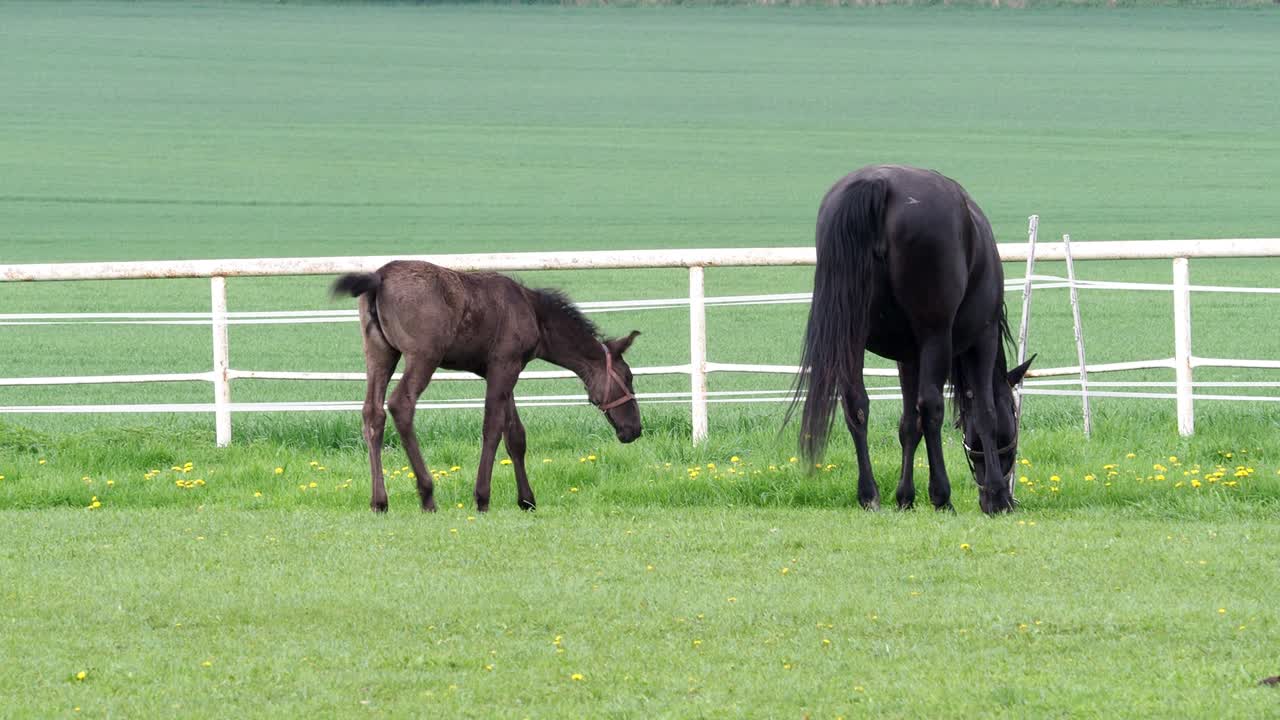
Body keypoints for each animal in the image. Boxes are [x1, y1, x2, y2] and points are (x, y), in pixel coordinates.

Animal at [333, 260, 642, 513]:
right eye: (628, 377)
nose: (634, 430)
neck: (533, 314)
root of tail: (379, 277)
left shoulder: (506, 370)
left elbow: (515, 435)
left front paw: (527, 499)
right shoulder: (504, 366)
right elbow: (492, 427)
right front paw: (482, 497)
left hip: (380, 353)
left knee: (373, 414)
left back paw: (379, 501)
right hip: (423, 356)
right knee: (401, 405)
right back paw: (427, 494)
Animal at [788, 165, 1034, 514]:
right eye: (1014, 416)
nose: (997, 493)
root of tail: (878, 184)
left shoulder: (908, 357)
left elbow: (908, 424)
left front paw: (905, 496)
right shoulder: (981, 339)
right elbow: (983, 411)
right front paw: (998, 497)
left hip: (852, 336)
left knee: (856, 405)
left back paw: (869, 494)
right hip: (935, 336)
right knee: (931, 407)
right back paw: (942, 495)